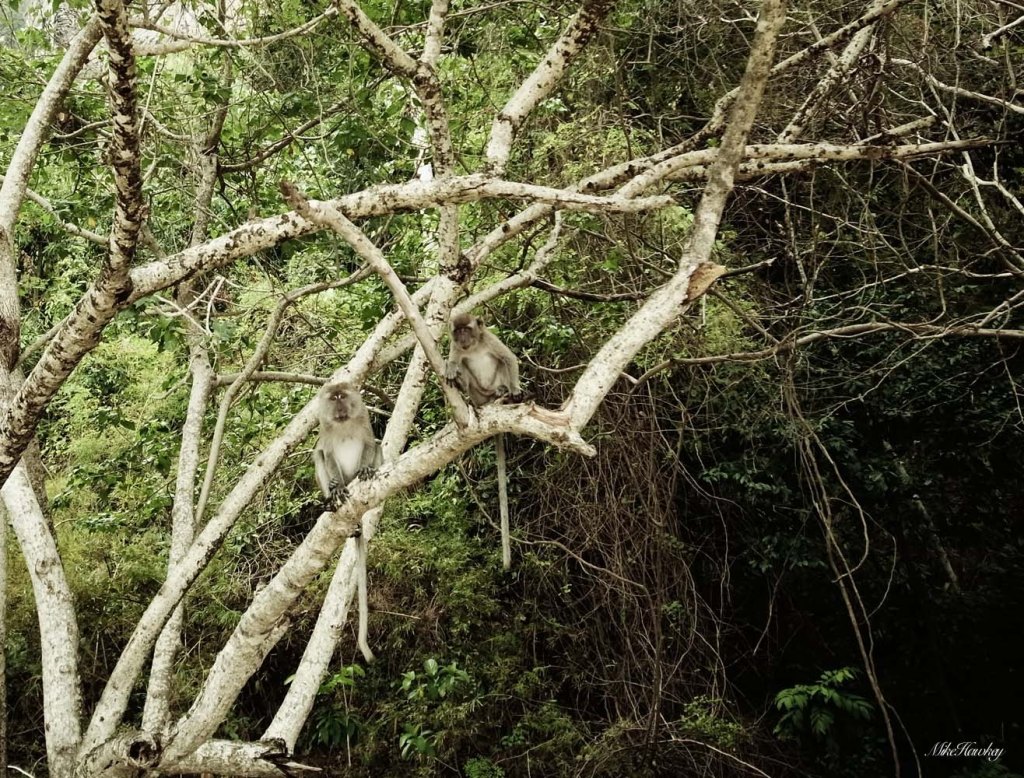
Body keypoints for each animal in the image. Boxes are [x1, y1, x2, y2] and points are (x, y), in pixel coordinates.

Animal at [445, 313, 521, 570]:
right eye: (457, 332)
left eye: (467, 329)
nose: (463, 338)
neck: (474, 345)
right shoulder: (454, 348)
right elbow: (454, 362)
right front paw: (451, 369)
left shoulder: (489, 338)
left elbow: (509, 358)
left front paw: (516, 390)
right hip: (478, 392)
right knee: (465, 371)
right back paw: (465, 389)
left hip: (493, 385)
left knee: (501, 365)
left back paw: (503, 392)